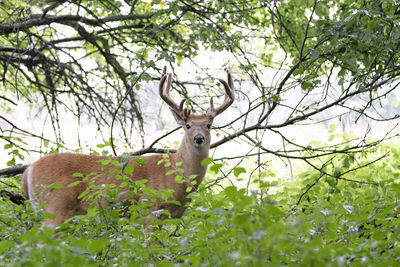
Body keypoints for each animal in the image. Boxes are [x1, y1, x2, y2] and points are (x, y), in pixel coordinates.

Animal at [21, 66, 234, 231]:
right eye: (187, 125)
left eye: (209, 125)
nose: (199, 138)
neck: (174, 173)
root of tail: (28, 170)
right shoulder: (150, 210)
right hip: (54, 206)